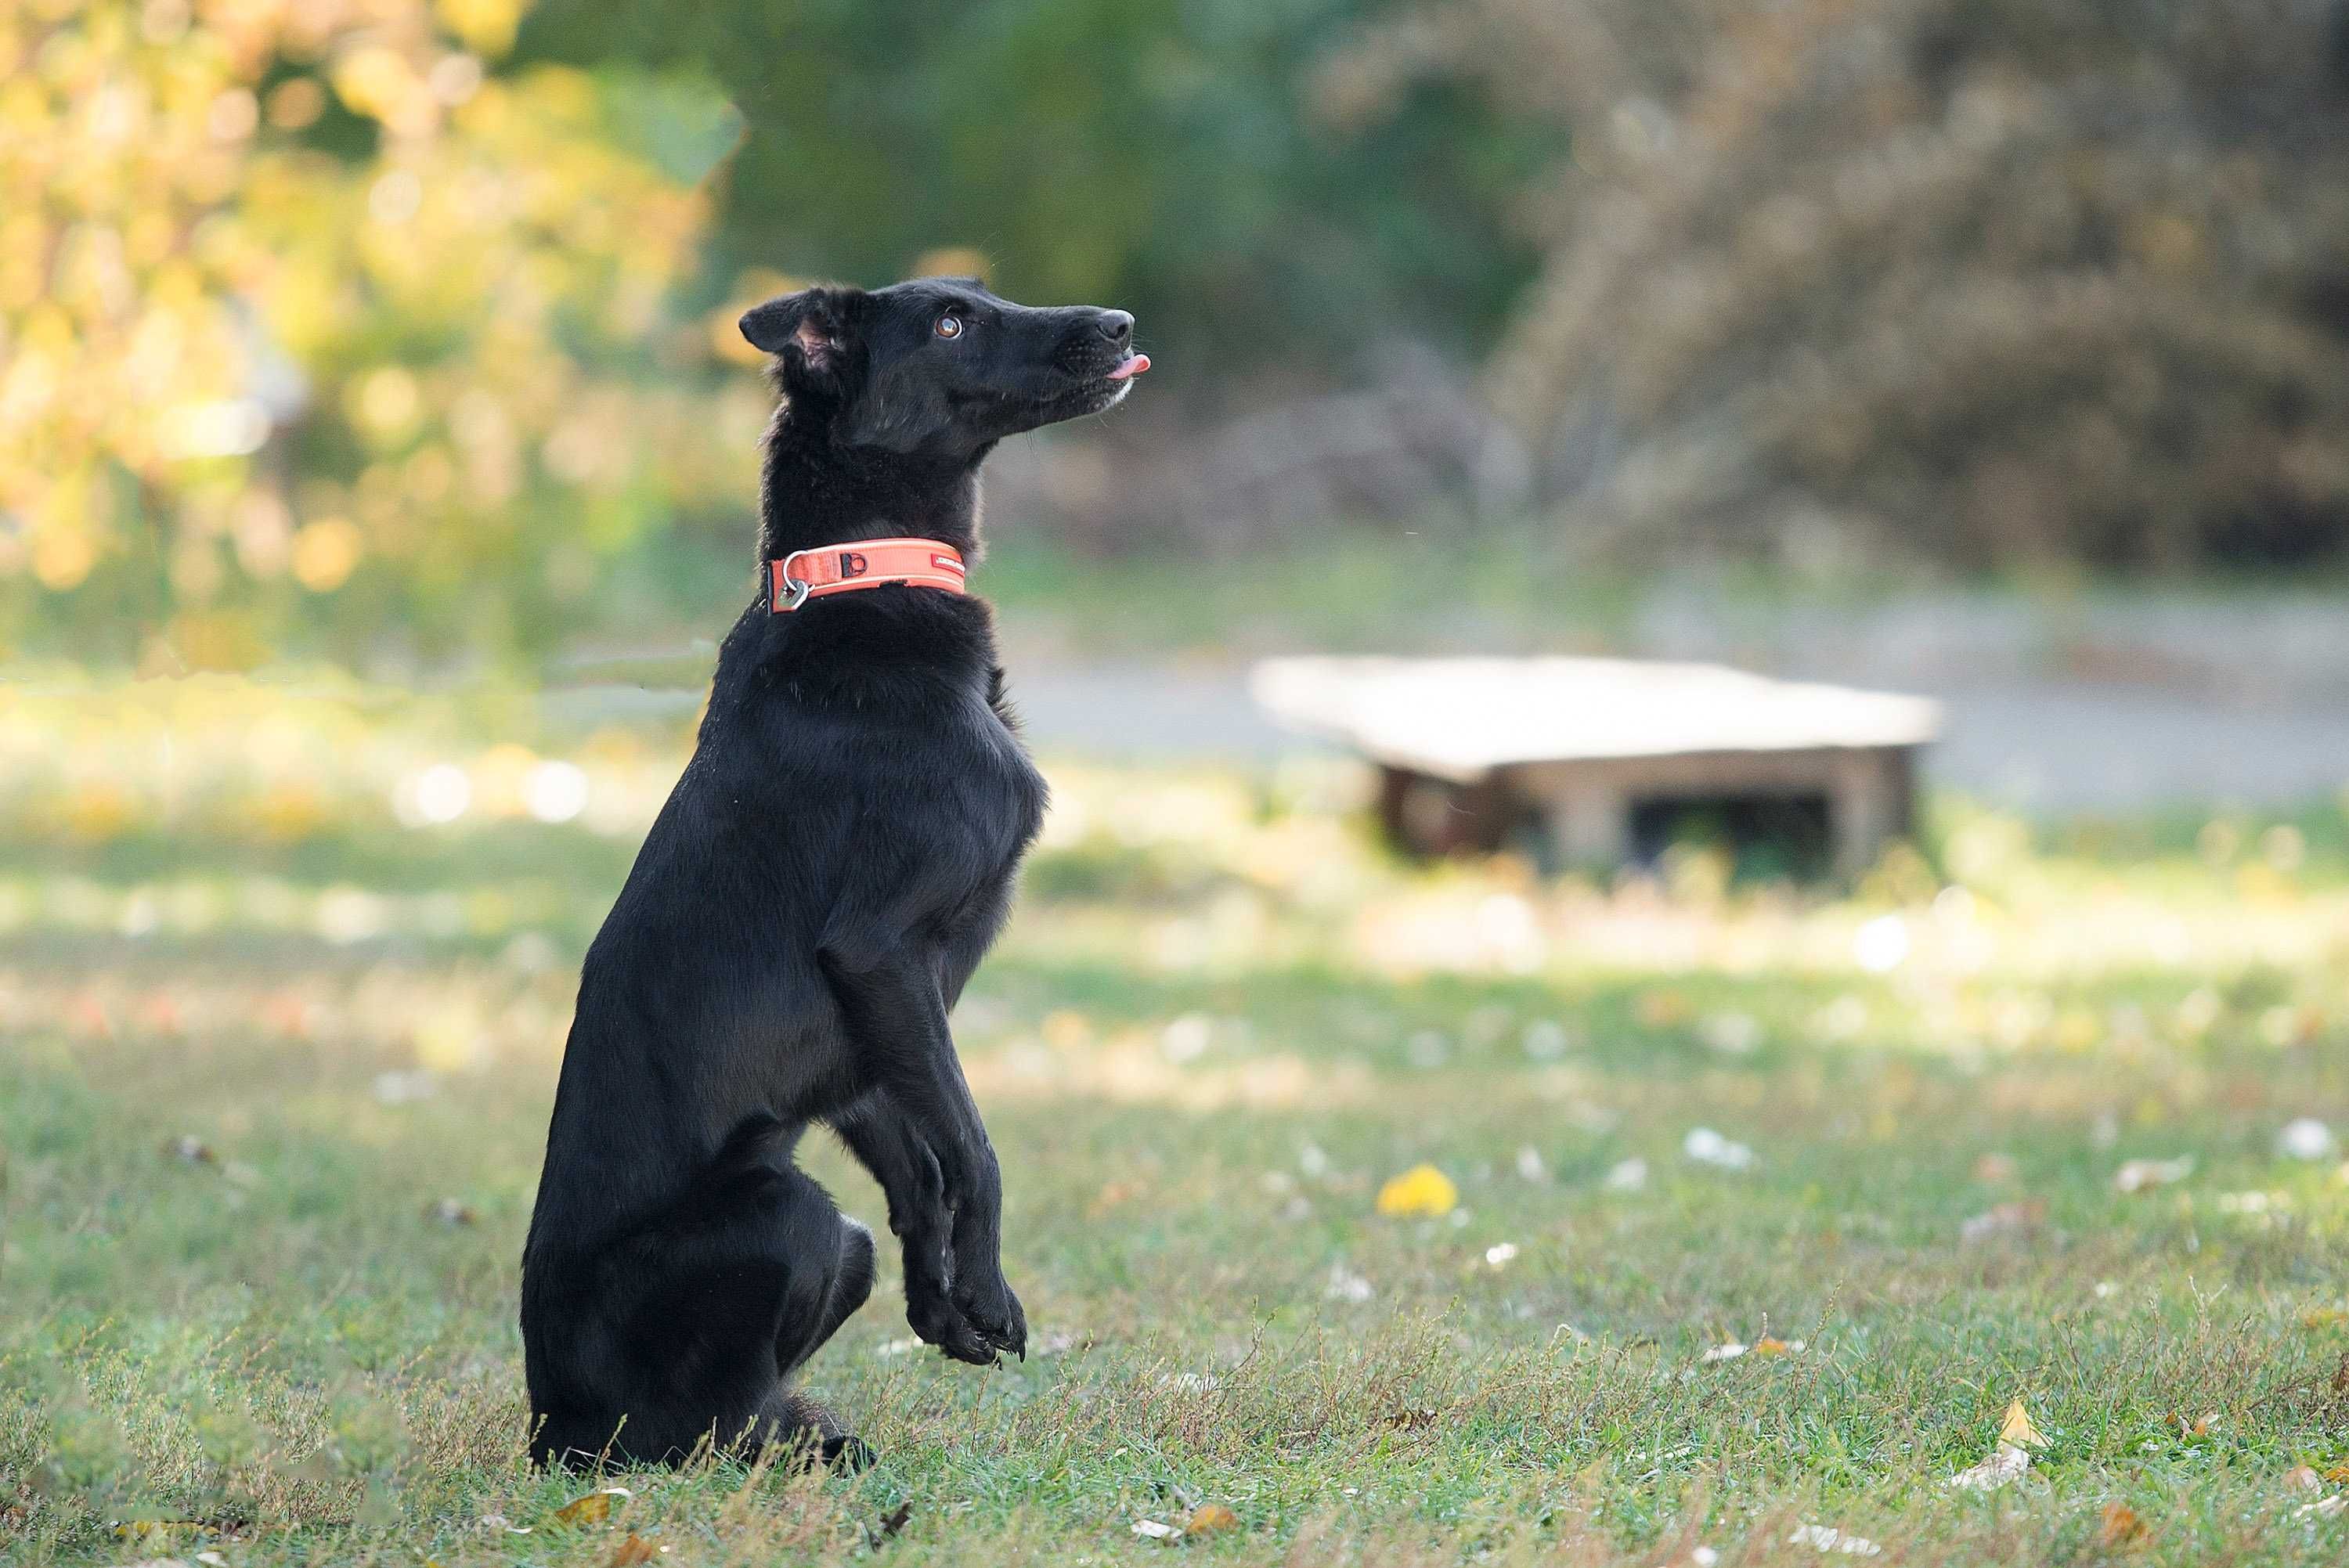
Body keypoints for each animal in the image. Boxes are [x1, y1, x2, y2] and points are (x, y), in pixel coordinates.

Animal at [521, 281, 1146, 1474]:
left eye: (981, 298)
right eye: (951, 324)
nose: (1123, 323)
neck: (861, 573)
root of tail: (548, 1426)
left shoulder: (870, 1027)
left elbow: (922, 1167)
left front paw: (943, 1306)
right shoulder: (881, 953)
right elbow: (974, 1147)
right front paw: (990, 1292)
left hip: (833, 1235)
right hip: (789, 1213)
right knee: (705, 1422)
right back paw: (811, 1445)